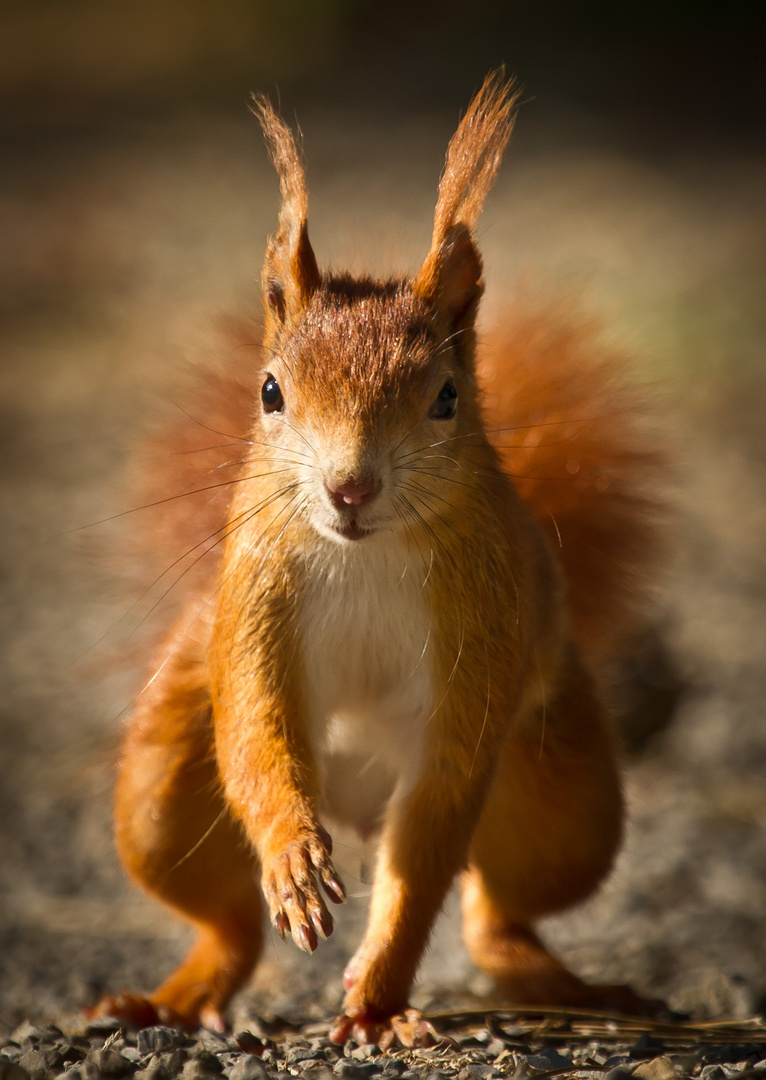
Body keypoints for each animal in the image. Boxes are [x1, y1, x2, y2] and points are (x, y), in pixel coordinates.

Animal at [93, 69, 661, 1045]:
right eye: (270, 392)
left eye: (447, 398)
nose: (349, 489)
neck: (363, 556)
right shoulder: (253, 599)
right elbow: (255, 737)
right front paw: (291, 857)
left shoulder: (481, 639)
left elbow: (431, 834)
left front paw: (377, 1001)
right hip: (160, 784)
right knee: (226, 920)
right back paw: (173, 994)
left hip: (568, 796)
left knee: (497, 908)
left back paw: (571, 985)